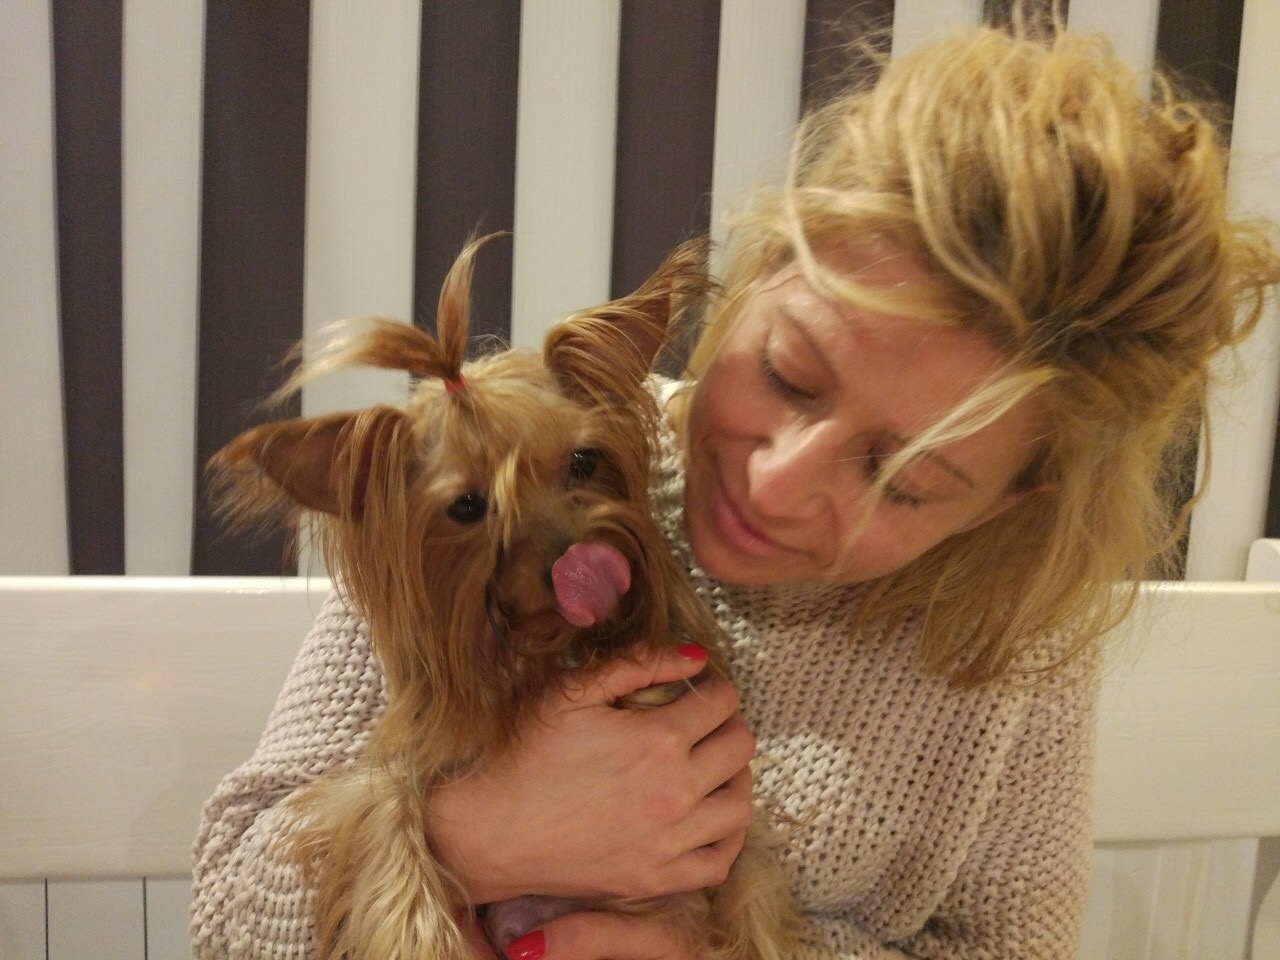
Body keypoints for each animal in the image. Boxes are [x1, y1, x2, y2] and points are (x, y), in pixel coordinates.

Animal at [211, 236, 803, 960]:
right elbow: (390, 833)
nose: (583, 564)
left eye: (583, 461)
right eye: (468, 507)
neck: (545, 652)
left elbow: (751, 882)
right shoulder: (386, 778)